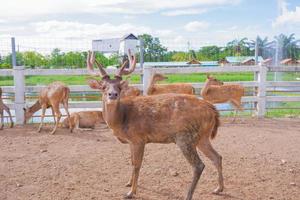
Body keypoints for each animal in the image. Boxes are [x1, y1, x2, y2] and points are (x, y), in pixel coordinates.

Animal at [86, 50, 223, 200]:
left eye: (120, 86)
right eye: (103, 87)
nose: (113, 94)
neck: (122, 119)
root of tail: (213, 110)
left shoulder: (139, 138)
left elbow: (137, 165)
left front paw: (131, 192)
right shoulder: (131, 141)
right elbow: (131, 161)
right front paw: (128, 183)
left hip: (185, 137)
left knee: (199, 165)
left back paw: (188, 195)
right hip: (202, 137)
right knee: (217, 156)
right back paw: (218, 188)